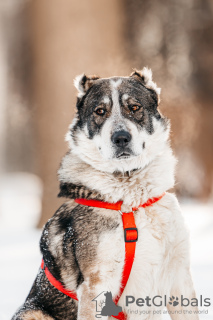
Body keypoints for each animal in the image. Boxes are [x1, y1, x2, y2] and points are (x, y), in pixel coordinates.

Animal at [11, 67, 198, 318]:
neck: (129, 199)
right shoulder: (96, 283)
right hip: (31, 312)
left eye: (134, 107)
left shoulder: (179, 276)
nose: (121, 138)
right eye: (100, 111)